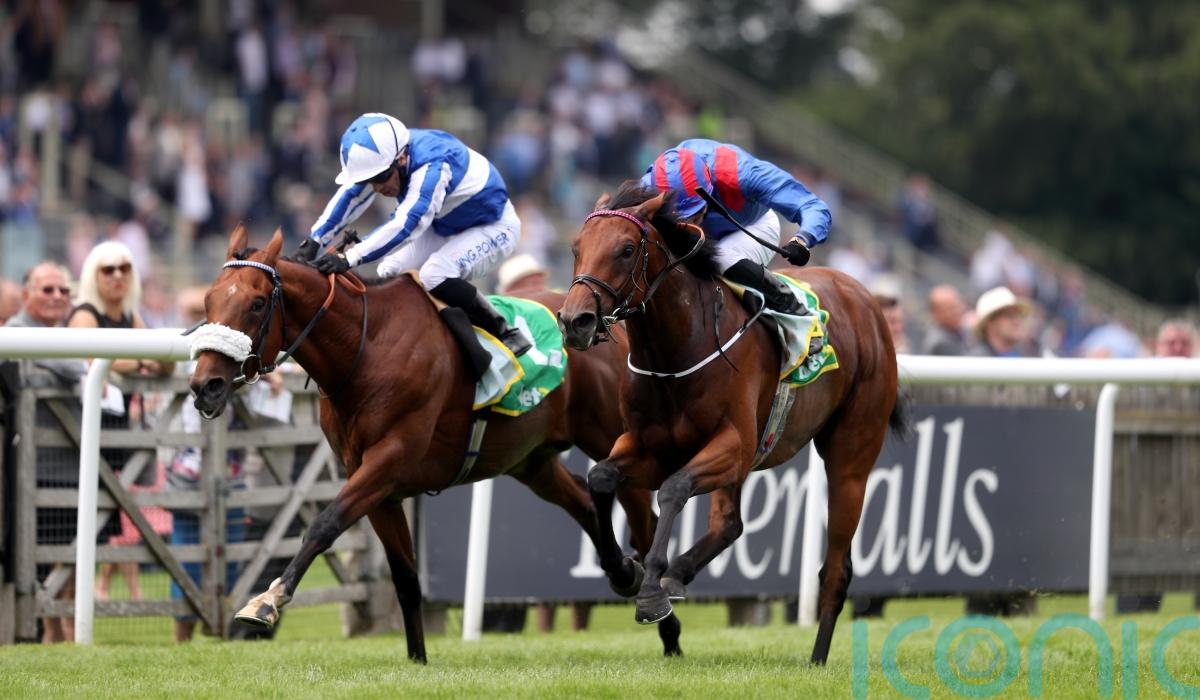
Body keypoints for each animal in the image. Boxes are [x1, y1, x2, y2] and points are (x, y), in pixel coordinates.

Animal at [189, 224, 683, 661]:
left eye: (256, 304)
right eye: (209, 300)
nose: (204, 386)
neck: (366, 347)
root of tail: (607, 321)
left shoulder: (388, 459)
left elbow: (323, 525)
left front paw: (265, 602)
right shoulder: (376, 481)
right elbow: (405, 579)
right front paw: (418, 658)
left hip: (613, 436)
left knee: (639, 513)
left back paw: (660, 613)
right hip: (530, 461)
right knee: (583, 501)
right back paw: (625, 575)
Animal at [557, 184, 905, 665]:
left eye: (626, 250)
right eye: (576, 247)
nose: (575, 321)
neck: (677, 351)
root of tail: (865, 298)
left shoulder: (734, 447)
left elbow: (674, 490)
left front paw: (650, 590)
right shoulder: (649, 446)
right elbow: (601, 477)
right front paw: (625, 571)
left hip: (851, 454)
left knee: (836, 567)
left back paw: (817, 658)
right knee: (730, 524)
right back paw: (680, 572)